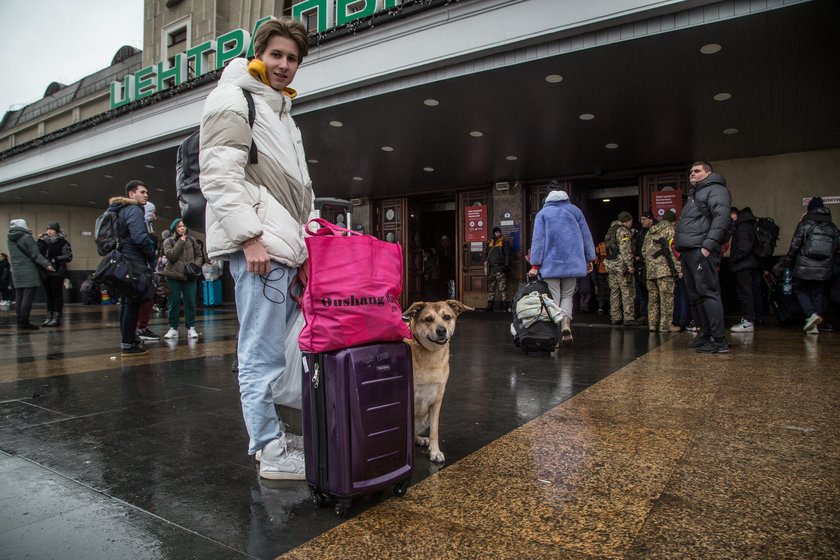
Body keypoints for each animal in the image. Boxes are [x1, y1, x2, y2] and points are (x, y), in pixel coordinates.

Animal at [406, 300, 472, 462]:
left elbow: (434, 431)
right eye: (428, 319)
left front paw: (434, 451)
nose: (441, 330)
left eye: (447, 317)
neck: (431, 354)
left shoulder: (436, 400)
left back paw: (420, 439)